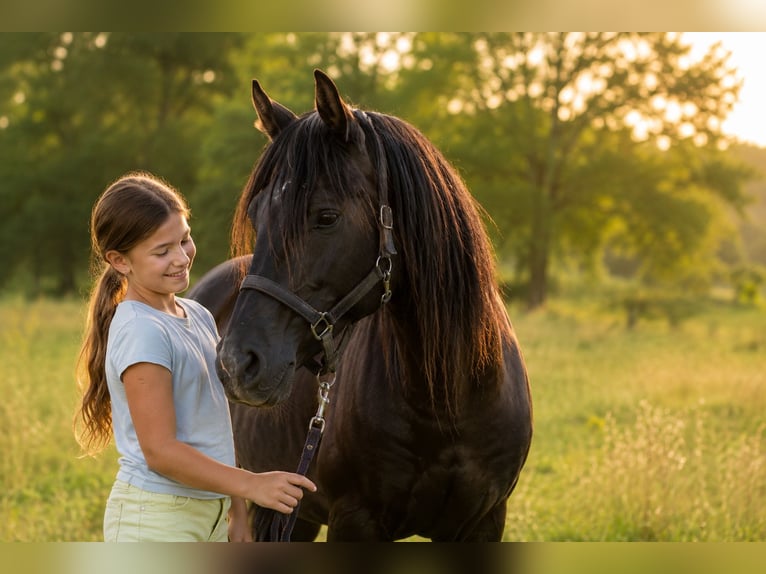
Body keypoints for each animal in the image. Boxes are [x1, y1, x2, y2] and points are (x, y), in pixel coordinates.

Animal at [188, 69, 533, 541]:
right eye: (257, 215)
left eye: (326, 216)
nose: (236, 364)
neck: (449, 400)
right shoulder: (356, 521)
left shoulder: (485, 521)